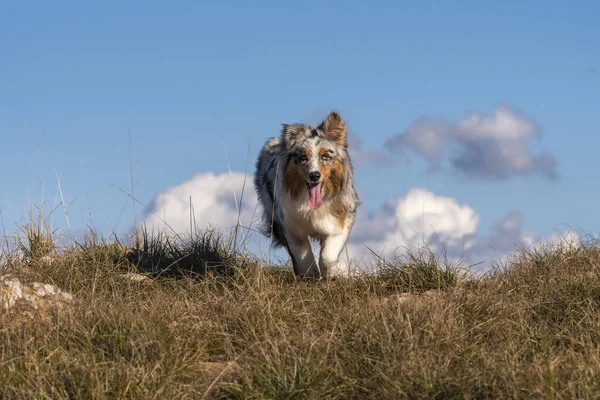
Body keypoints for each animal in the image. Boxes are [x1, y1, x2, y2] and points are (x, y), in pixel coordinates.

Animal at [254, 110, 358, 278]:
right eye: (303, 158)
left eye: (325, 157)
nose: (314, 175)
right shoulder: (289, 225)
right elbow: (304, 256)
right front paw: (311, 276)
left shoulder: (342, 218)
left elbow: (328, 255)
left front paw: (329, 274)